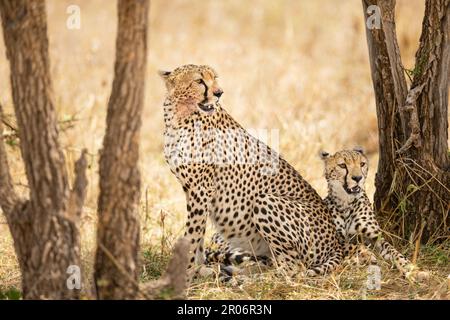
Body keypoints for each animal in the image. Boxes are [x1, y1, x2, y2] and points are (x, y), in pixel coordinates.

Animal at [161, 65, 342, 280]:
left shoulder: (201, 188)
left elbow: (193, 233)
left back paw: (248, 279)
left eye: (215, 78)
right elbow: (198, 234)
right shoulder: (192, 189)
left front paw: (186, 275)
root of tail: (337, 242)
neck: (179, 115)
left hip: (265, 201)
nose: (219, 93)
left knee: (292, 268)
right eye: (199, 81)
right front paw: (198, 270)